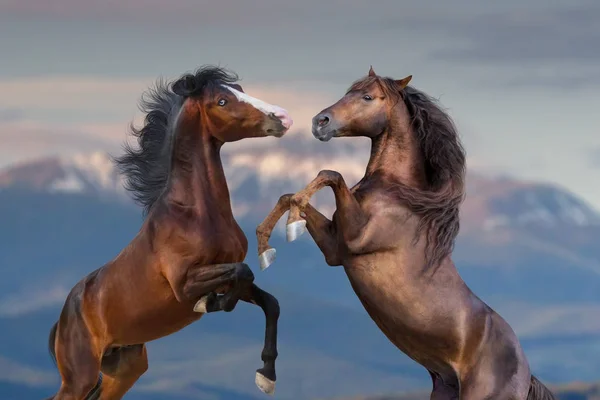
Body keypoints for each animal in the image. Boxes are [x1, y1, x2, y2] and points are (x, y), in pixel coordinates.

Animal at [45, 66, 292, 400]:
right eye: (223, 100)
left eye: (240, 89)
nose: (283, 117)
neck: (195, 214)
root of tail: (62, 320)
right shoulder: (183, 284)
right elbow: (242, 272)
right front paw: (210, 303)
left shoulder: (226, 276)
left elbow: (269, 301)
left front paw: (266, 376)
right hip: (79, 377)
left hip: (124, 369)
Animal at [255, 67, 556, 398]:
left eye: (367, 96)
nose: (319, 122)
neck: (396, 193)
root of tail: (526, 373)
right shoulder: (335, 248)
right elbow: (290, 196)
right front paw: (267, 247)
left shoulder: (353, 239)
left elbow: (330, 174)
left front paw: (290, 226)